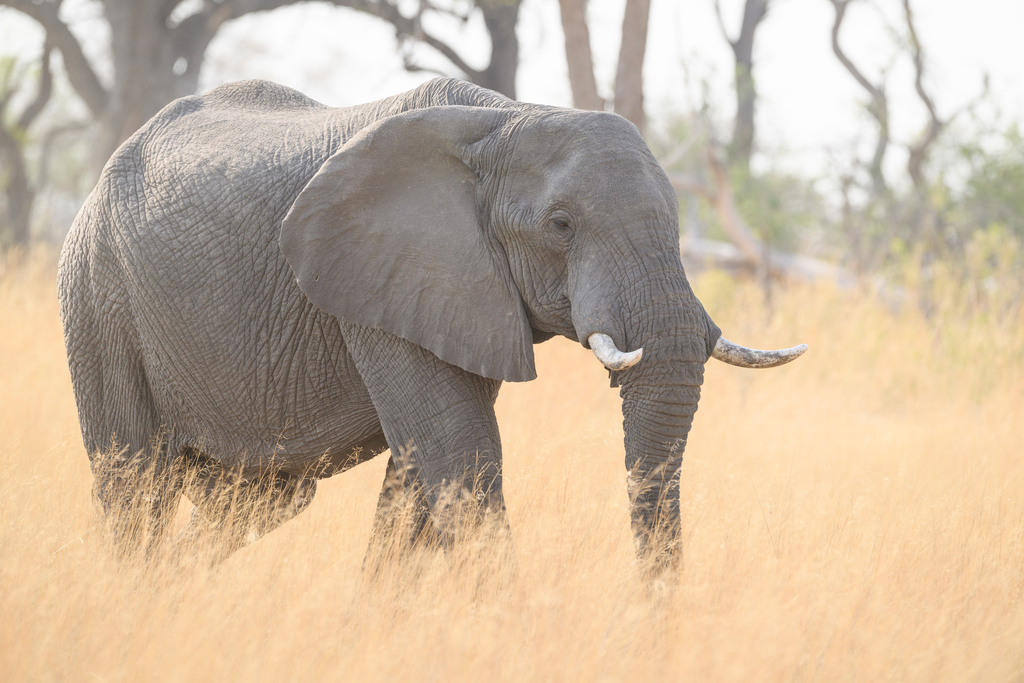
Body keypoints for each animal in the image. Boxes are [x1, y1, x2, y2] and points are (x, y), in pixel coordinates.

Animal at [57, 77, 805, 570]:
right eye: (561, 226)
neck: (505, 118)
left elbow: (422, 470)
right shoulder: (383, 278)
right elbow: (461, 454)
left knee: (257, 501)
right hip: (98, 298)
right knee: (133, 484)